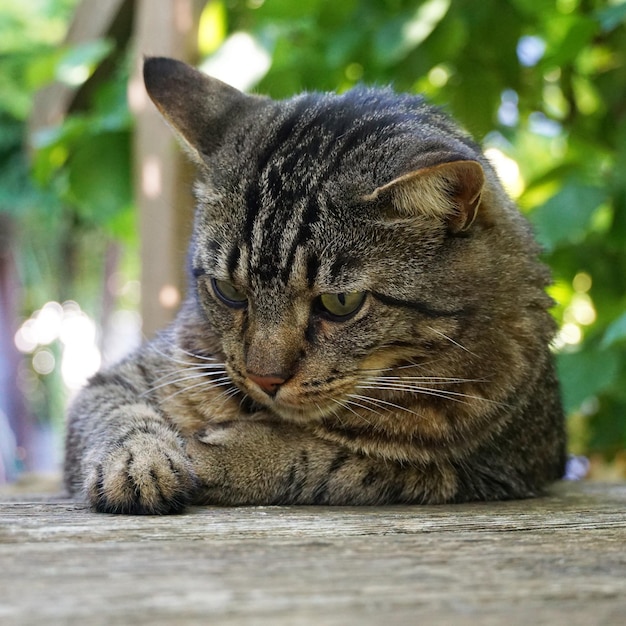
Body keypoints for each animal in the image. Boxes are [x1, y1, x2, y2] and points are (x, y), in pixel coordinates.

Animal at [63, 56, 564, 512]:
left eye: (340, 302)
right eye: (230, 291)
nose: (265, 379)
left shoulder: (488, 469)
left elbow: (325, 458)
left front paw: (224, 454)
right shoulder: (122, 378)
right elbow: (116, 414)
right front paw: (140, 459)